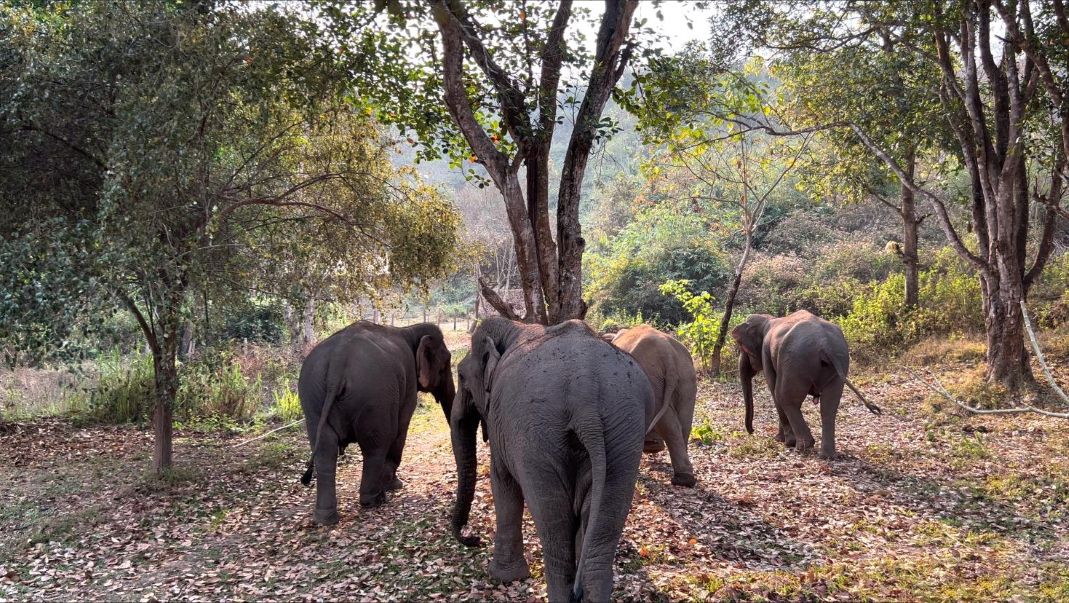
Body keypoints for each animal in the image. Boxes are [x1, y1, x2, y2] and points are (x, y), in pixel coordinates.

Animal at [298, 321, 454, 525]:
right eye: (446, 362)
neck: (408, 329)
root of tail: (337, 364)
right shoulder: (409, 384)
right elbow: (401, 428)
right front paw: (395, 486)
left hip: (313, 398)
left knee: (325, 450)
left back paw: (325, 518)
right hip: (375, 397)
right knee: (376, 444)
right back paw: (375, 499)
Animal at [450, 317, 652, 603]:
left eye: (460, 376)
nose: (473, 538)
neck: (513, 327)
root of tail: (585, 396)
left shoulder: (503, 428)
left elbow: (502, 482)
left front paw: (504, 577)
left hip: (537, 438)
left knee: (554, 528)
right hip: (624, 434)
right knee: (601, 535)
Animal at [731, 310, 881, 459]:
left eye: (742, 347)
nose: (752, 430)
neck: (768, 319)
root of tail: (825, 344)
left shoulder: (765, 353)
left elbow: (773, 390)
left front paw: (781, 440)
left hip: (796, 362)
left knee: (783, 396)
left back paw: (802, 446)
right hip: (839, 362)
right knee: (828, 406)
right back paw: (826, 455)